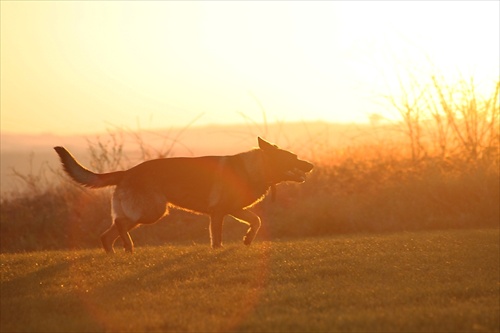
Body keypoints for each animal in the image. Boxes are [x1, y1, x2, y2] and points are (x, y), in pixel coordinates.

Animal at [54, 137, 312, 252]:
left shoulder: (234, 210)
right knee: (117, 225)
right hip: (152, 211)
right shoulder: (218, 213)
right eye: (293, 158)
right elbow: (217, 238)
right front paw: (218, 252)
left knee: (107, 235)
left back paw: (120, 253)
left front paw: (248, 239)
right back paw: (129, 247)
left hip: (145, 213)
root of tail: (127, 172)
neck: (253, 169)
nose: (311, 165)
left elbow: (256, 221)